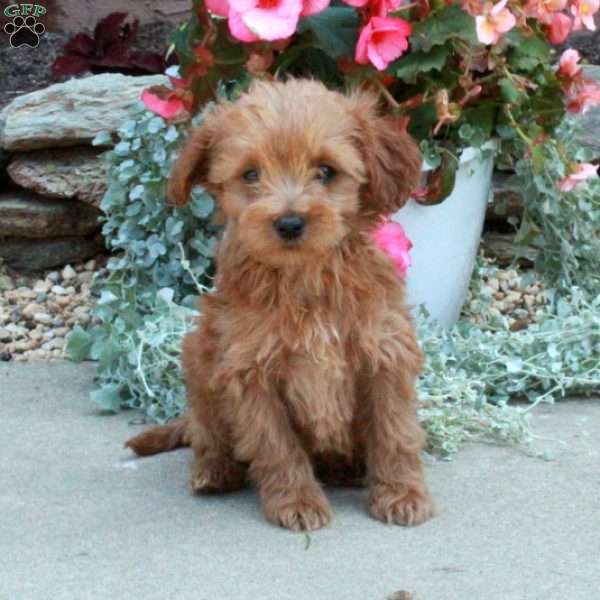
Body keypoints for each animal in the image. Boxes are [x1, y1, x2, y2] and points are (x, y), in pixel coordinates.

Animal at [126, 78, 434, 528]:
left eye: (326, 171)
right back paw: (214, 470)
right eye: (251, 174)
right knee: (205, 433)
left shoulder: (384, 353)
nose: (289, 223)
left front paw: (402, 493)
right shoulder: (249, 369)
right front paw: (297, 502)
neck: (304, 275)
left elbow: (394, 431)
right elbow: (276, 445)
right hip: (197, 358)